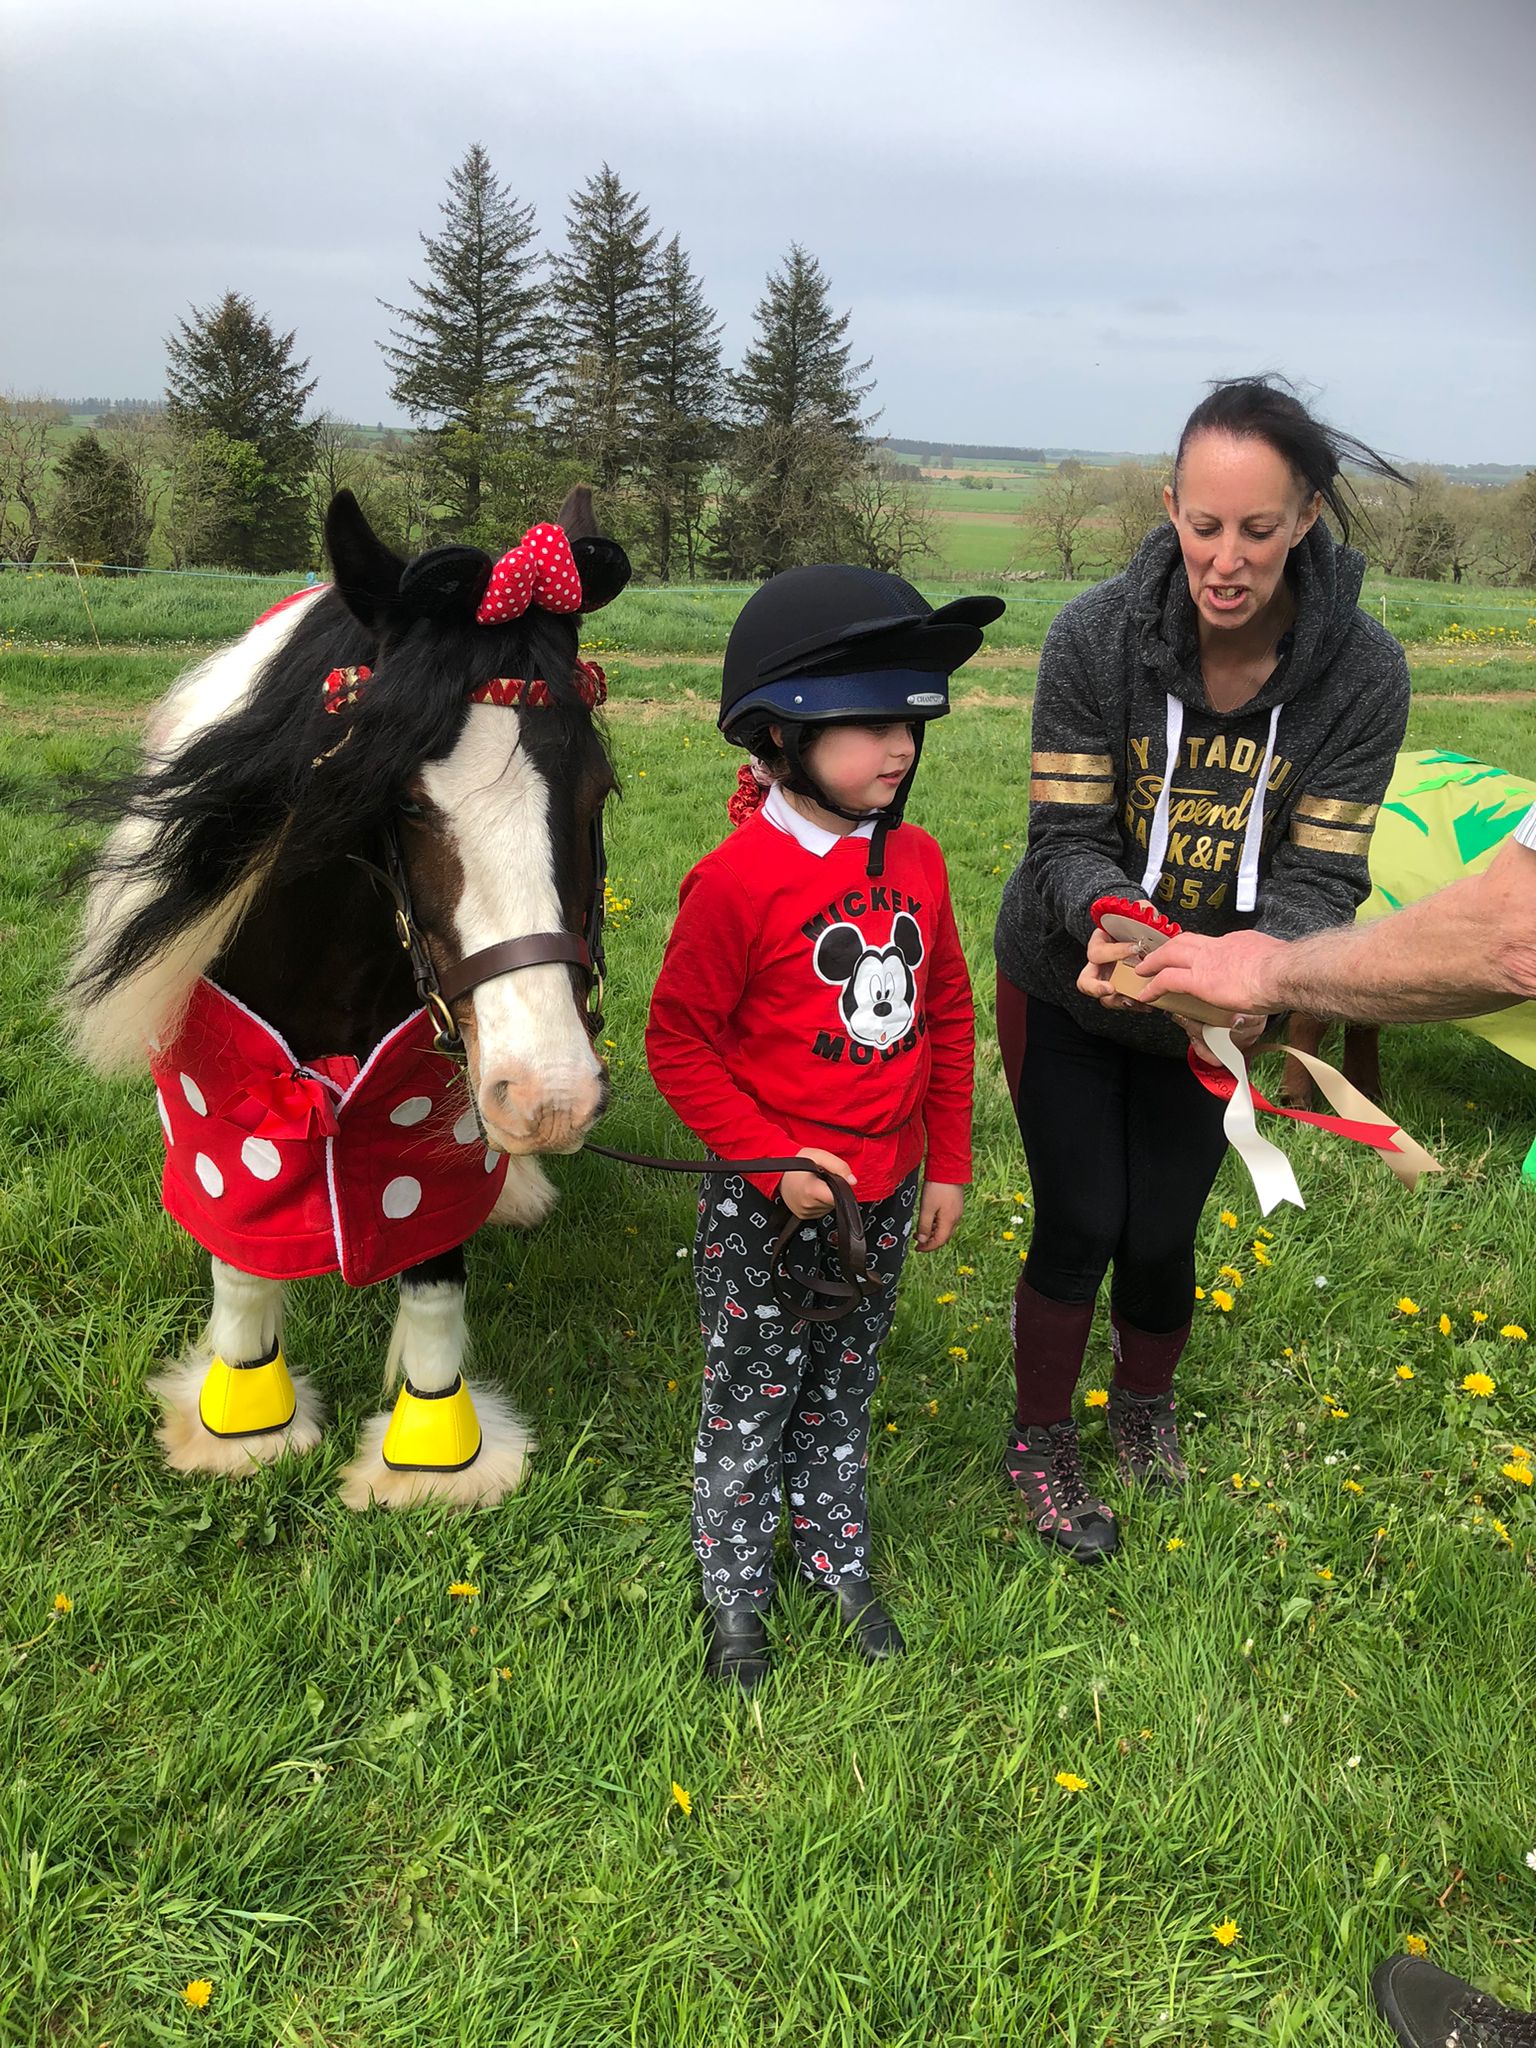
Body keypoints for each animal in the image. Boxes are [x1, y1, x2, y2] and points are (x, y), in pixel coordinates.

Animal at [64, 487, 631, 1509]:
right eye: (400, 798)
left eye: (597, 790)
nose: (549, 1098)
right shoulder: (227, 1076)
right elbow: (243, 1255)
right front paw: (243, 1424)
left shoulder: (425, 1088)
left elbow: (432, 1259)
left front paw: (434, 1457)